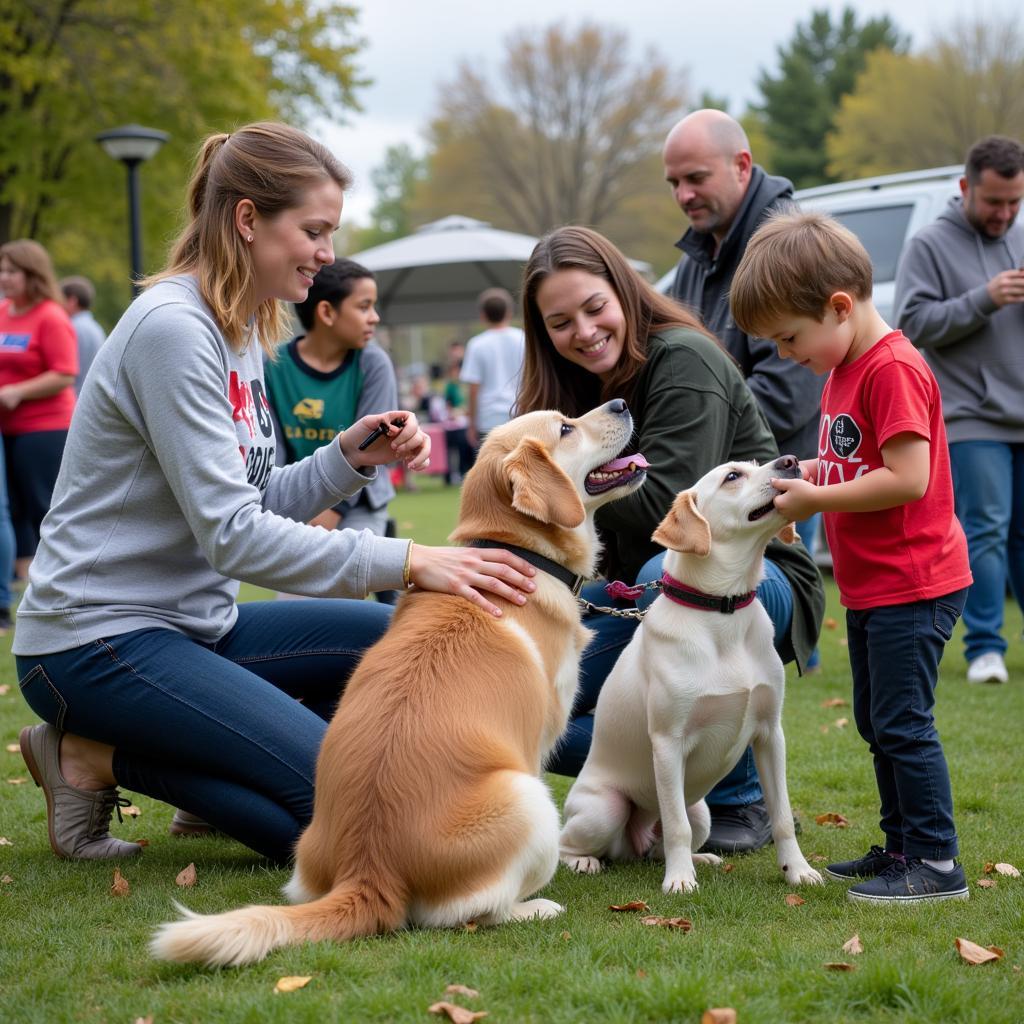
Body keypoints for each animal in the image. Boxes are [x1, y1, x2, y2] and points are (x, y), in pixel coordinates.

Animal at [149, 401, 647, 966]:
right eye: (565, 427)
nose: (621, 404)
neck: (518, 553)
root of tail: (369, 872)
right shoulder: (539, 741)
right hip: (530, 798)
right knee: (469, 914)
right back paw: (534, 907)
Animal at [561, 458, 823, 897]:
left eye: (757, 463)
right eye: (732, 476)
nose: (789, 461)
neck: (722, 611)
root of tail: (629, 846)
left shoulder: (771, 734)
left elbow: (783, 816)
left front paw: (797, 870)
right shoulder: (668, 742)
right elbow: (675, 827)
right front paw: (680, 880)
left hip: (701, 811)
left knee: (659, 846)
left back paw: (701, 858)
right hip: (604, 808)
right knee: (572, 844)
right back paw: (585, 861)